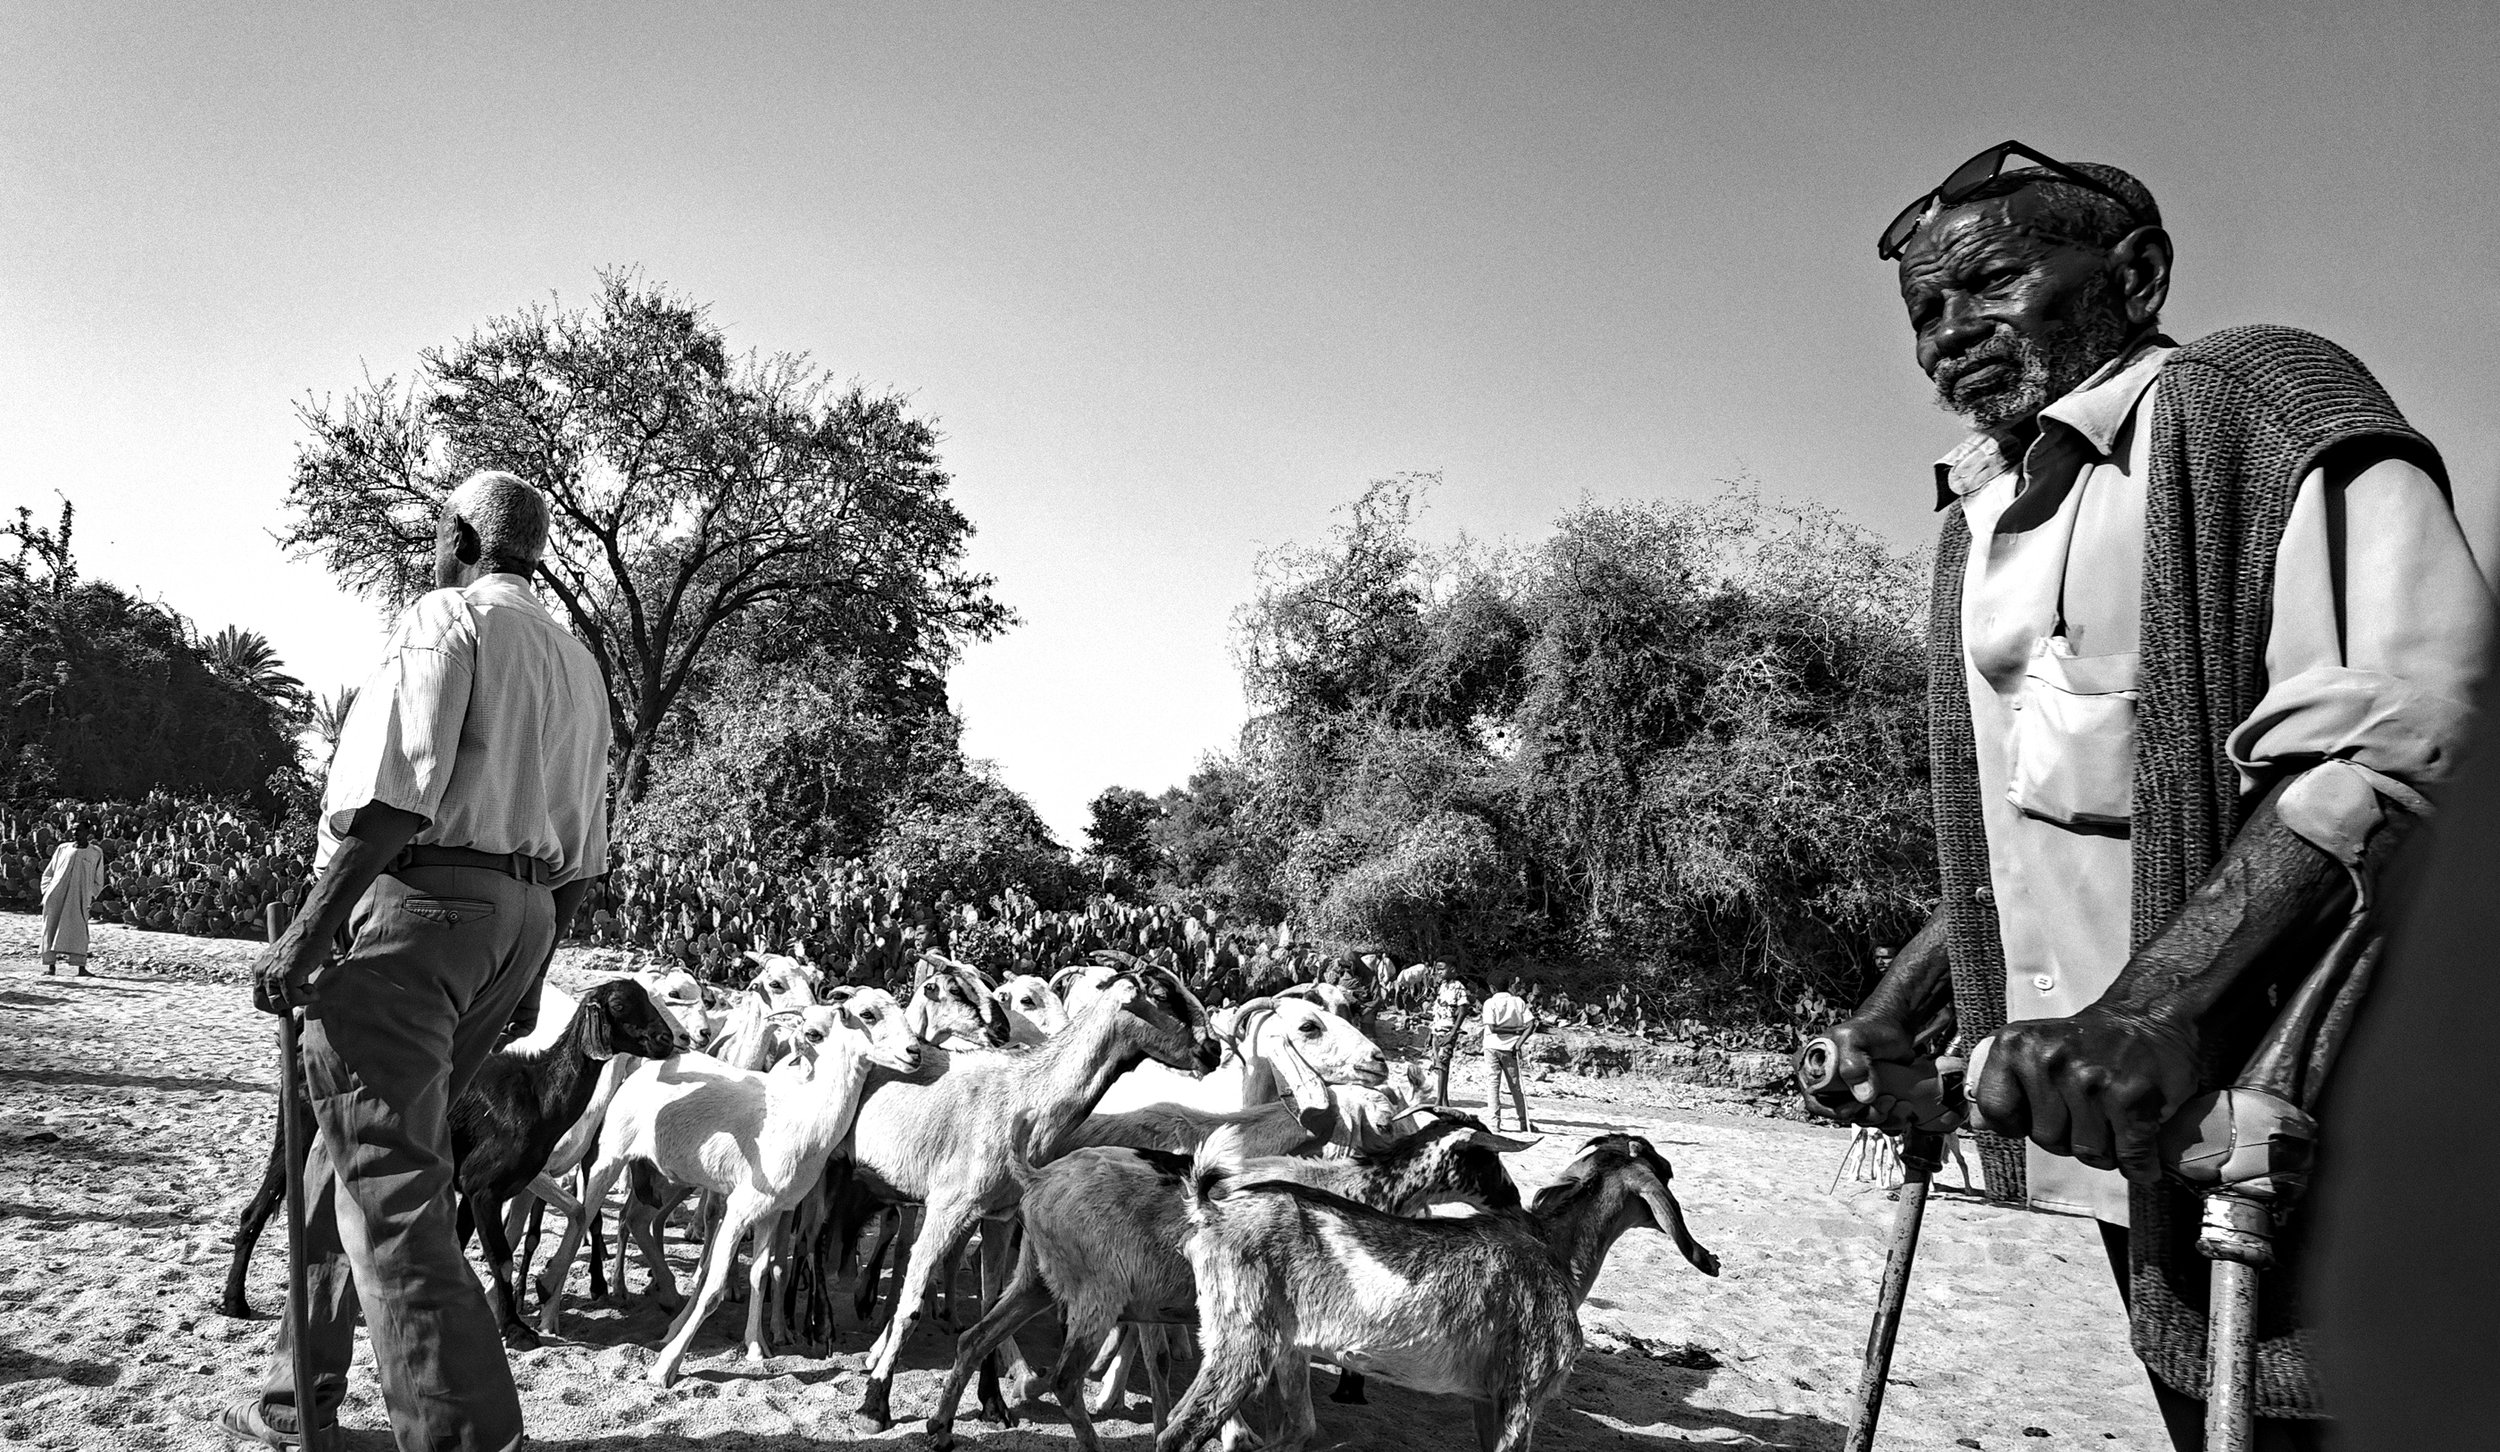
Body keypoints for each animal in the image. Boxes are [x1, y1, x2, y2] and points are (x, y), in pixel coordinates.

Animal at [557, 992, 919, 1385]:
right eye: (867, 1014)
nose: (915, 1052)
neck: (803, 1117)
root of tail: (653, 1063)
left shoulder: (772, 1210)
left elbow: (760, 1274)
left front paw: (757, 1347)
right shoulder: (739, 1208)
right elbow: (714, 1287)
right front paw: (666, 1366)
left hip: (664, 1176)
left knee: (636, 1220)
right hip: (610, 1154)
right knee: (584, 1219)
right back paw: (552, 1311)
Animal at [841, 967, 1222, 1431]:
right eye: (1163, 995)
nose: (1214, 1050)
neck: (1023, 1097)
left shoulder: (999, 1215)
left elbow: (990, 1305)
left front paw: (993, 1403)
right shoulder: (948, 1207)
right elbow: (911, 1306)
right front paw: (874, 1404)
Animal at [923, 1113, 1534, 1452]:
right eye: (1488, 1159)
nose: (1516, 1201)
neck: (1349, 1188)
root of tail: (1038, 1176)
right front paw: (1236, 1435)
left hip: (1037, 1279)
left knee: (975, 1338)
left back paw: (943, 1426)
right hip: (1097, 1295)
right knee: (1066, 1379)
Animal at [1159, 1132, 1719, 1452]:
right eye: (1665, 1171)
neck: (1553, 1249)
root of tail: (1211, 1210)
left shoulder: (1487, 1399)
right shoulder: (1524, 1393)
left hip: (1278, 1347)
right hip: (1243, 1341)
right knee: (1179, 1430)